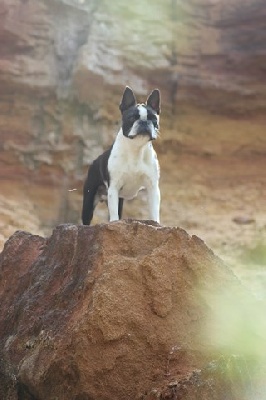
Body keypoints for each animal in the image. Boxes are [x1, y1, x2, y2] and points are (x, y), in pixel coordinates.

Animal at [81, 86, 160, 225]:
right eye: (132, 118)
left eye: (153, 119)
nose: (144, 122)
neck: (136, 148)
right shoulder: (114, 187)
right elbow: (114, 214)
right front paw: (114, 222)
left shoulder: (153, 187)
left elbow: (154, 208)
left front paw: (156, 223)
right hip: (89, 199)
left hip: (119, 200)